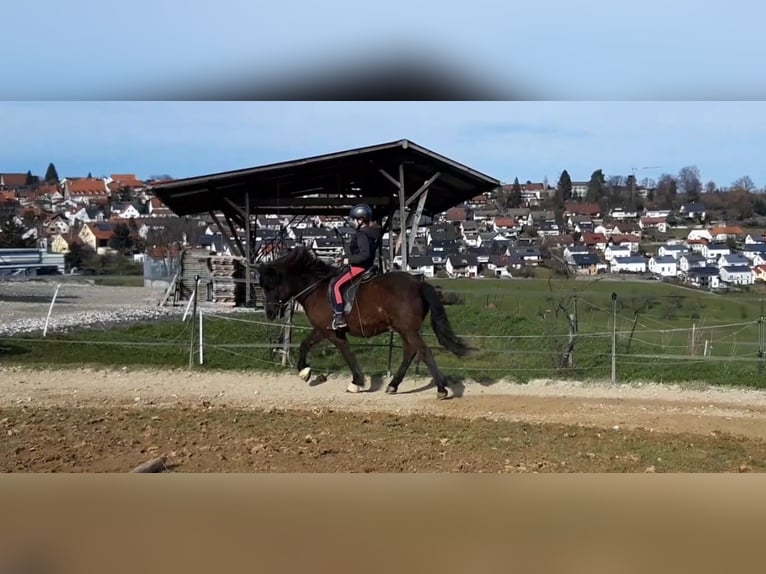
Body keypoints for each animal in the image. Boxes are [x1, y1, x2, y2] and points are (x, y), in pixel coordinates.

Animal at [258, 246, 472, 400]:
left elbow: (346, 352)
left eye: (271, 286)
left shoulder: (331, 331)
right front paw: (304, 371)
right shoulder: (322, 329)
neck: (317, 288)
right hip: (404, 329)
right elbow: (306, 344)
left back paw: (441, 390)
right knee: (410, 352)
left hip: (408, 329)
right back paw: (393, 385)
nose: (270, 313)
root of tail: (418, 282)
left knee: (423, 352)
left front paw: (356, 382)